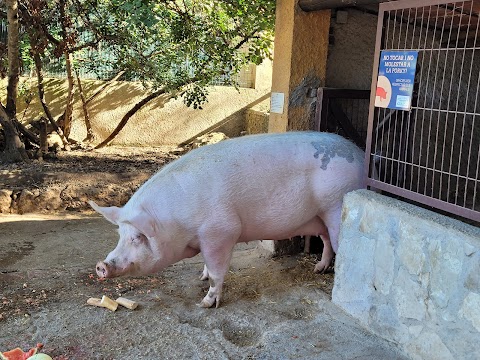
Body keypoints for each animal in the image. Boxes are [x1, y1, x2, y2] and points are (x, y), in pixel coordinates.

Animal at [90, 131, 366, 308]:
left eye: (138, 237)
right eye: (120, 235)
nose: (102, 265)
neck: (175, 221)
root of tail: (360, 153)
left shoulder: (221, 231)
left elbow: (217, 271)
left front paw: (206, 303)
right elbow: (207, 266)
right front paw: (200, 278)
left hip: (336, 204)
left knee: (340, 244)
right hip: (319, 215)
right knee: (326, 240)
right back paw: (318, 269)